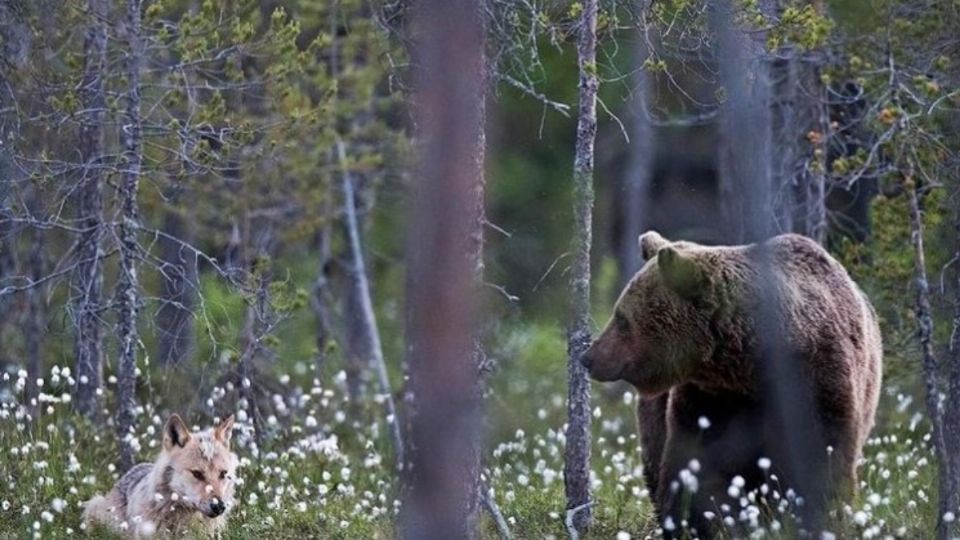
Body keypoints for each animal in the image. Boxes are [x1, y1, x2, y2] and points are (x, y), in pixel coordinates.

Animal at [580, 230, 880, 536]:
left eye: (622, 318)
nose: (588, 357)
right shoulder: (713, 399)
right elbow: (698, 463)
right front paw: (697, 521)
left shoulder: (816, 382)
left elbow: (821, 457)